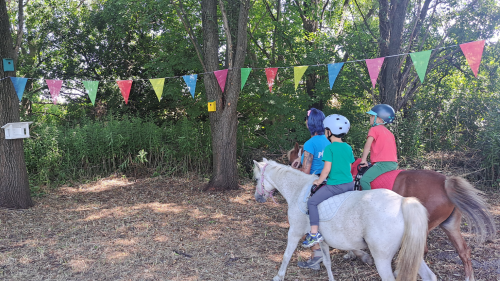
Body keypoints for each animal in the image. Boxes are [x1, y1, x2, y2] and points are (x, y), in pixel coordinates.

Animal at [254, 159, 438, 280]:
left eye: (256, 179)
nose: (257, 197)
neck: (299, 190)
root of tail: (401, 202)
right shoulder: (323, 240)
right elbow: (327, 262)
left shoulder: (294, 232)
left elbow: (286, 255)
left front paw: (278, 276)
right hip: (411, 252)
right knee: (429, 276)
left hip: (383, 258)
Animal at [288, 142, 494, 280]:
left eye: (295, 158)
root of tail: (445, 183)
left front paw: (359, 254)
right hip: (450, 226)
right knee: (463, 251)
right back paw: (468, 276)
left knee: (421, 251)